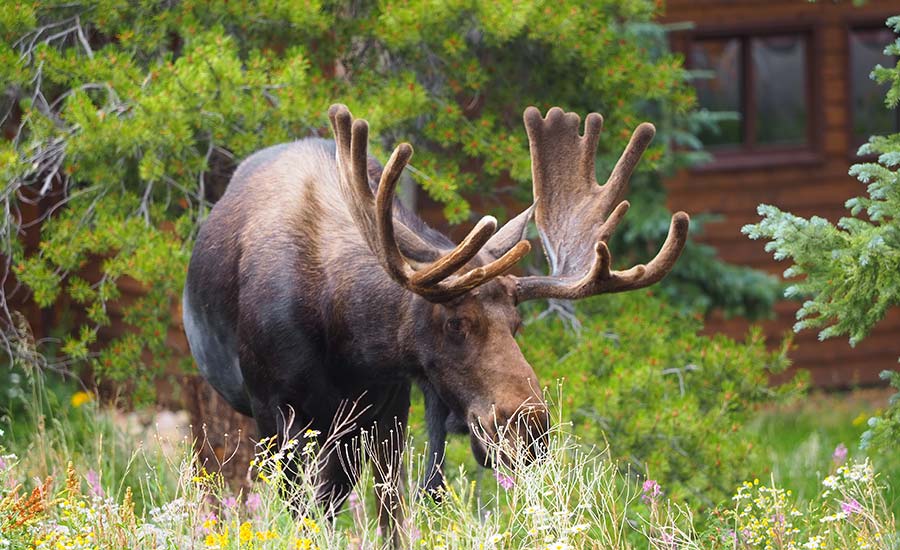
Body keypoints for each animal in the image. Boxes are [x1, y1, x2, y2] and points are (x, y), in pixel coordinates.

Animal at [181, 103, 688, 544]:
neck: (346, 334)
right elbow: (298, 515)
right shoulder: (275, 407)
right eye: (456, 323)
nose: (530, 430)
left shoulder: (386, 406)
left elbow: (390, 516)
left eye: (517, 323)